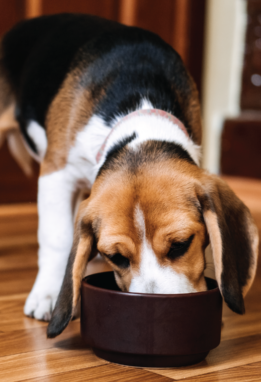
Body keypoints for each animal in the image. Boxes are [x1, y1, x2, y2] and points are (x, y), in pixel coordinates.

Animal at [0, 13, 256, 338]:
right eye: (118, 258)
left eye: (180, 245)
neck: (139, 110)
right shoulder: (56, 173)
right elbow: (56, 237)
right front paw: (47, 293)